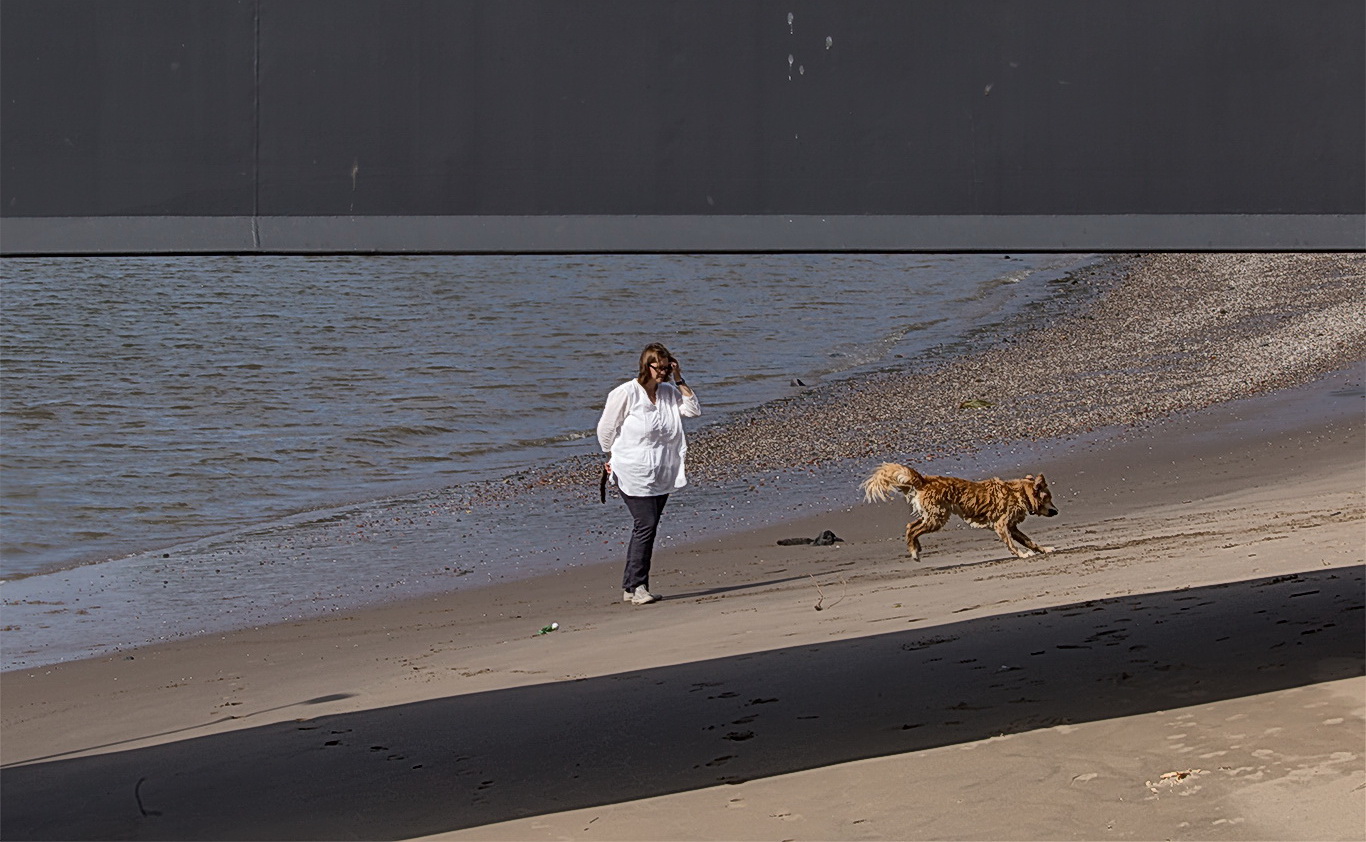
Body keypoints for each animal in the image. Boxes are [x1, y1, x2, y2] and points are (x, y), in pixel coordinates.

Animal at [857, 464, 1060, 563]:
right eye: (1049, 498)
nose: (1057, 511)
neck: (1019, 493)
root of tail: (925, 480)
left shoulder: (1012, 527)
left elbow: (1030, 541)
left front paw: (1044, 549)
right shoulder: (1001, 525)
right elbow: (1012, 544)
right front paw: (1022, 555)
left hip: (932, 516)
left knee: (910, 526)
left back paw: (916, 548)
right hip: (938, 518)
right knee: (912, 529)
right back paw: (914, 552)